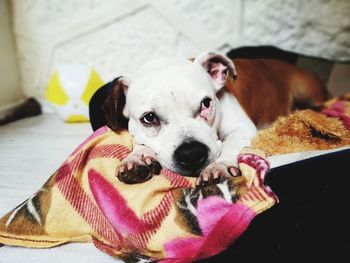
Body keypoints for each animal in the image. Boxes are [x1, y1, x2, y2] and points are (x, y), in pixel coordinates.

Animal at [90, 52, 256, 187]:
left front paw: (219, 165)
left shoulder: (243, 128)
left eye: (206, 103)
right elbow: (138, 141)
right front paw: (138, 156)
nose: (191, 153)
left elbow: (231, 143)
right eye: (149, 118)